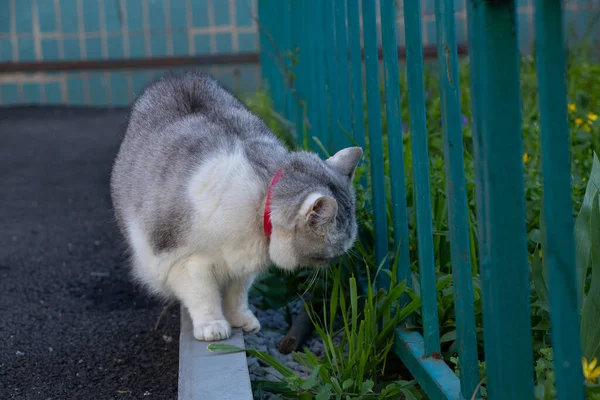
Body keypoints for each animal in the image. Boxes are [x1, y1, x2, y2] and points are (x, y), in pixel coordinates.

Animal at [109, 71, 360, 340]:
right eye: (333, 251)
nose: (333, 263)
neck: (261, 200)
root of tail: (178, 77)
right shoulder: (189, 263)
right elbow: (204, 296)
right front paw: (213, 325)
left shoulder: (243, 267)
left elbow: (237, 295)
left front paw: (241, 319)